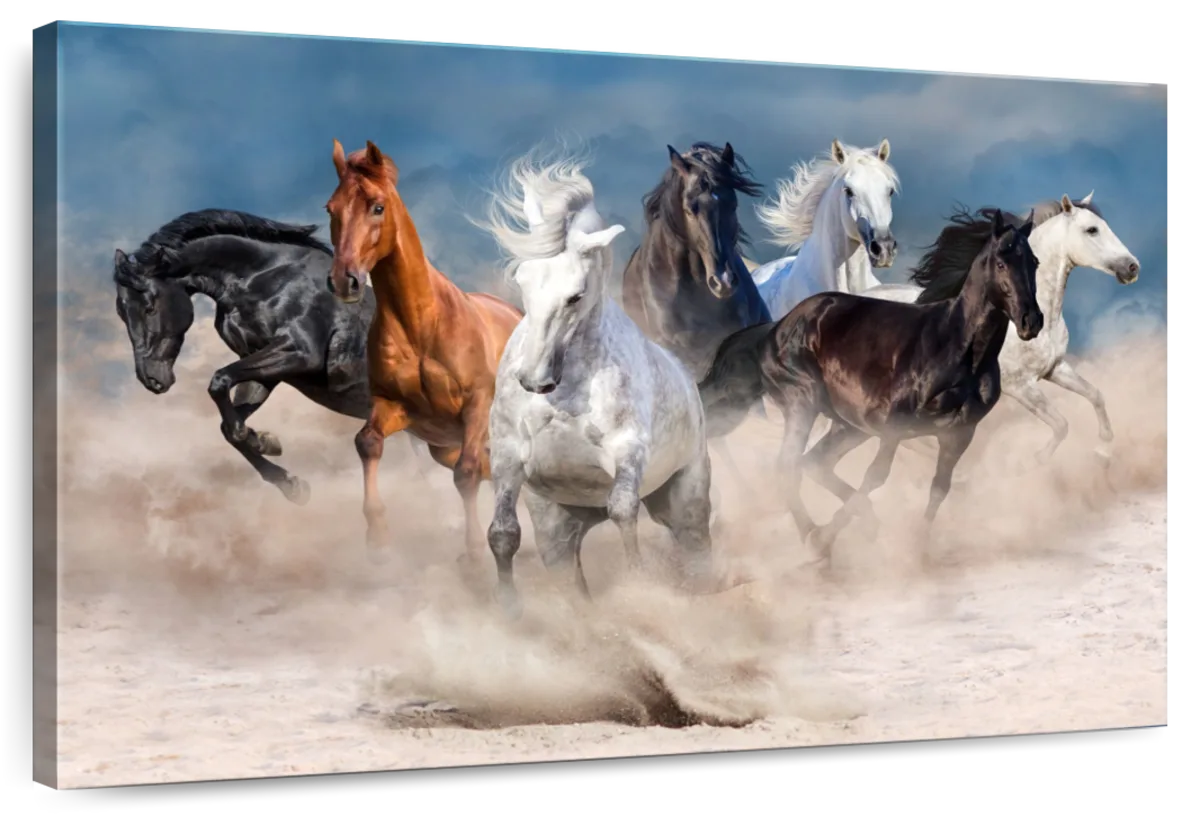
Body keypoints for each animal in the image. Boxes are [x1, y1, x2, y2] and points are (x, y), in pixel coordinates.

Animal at [112, 208, 437, 505]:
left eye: (149, 306)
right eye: (121, 312)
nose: (151, 379)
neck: (262, 279)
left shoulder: (299, 352)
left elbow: (219, 381)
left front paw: (265, 442)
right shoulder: (264, 366)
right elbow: (228, 423)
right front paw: (286, 475)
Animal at [324, 139, 524, 565]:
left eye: (377, 206)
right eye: (331, 208)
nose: (344, 280)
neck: (421, 323)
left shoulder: (476, 406)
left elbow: (466, 473)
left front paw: (473, 552)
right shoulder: (398, 408)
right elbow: (367, 443)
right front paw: (378, 537)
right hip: (442, 447)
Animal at [477, 146, 714, 619]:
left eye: (575, 295)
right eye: (522, 279)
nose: (534, 380)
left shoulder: (626, 452)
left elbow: (623, 513)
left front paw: (640, 587)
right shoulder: (508, 456)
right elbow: (502, 534)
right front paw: (509, 610)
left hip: (685, 498)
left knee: (697, 549)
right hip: (558, 526)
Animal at [698, 208, 1043, 568]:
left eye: (1034, 262)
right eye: (1001, 263)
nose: (1031, 321)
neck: (959, 350)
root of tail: (774, 329)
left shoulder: (959, 434)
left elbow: (939, 487)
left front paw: (917, 548)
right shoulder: (895, 426)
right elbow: (876, 476)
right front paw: (825, 538)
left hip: (849, 425)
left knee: (815, 463)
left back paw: (865, 523)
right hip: (802, 404)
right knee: (788, 466)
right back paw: (814, 537)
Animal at [853, 193, 1141, 470]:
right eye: (1092, 230)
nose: (1132, 267)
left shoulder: (1055, 368)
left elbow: (1096, 396)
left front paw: (1102, 453)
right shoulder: (1020, 386)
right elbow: (1061, 424)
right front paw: (1033, 462)